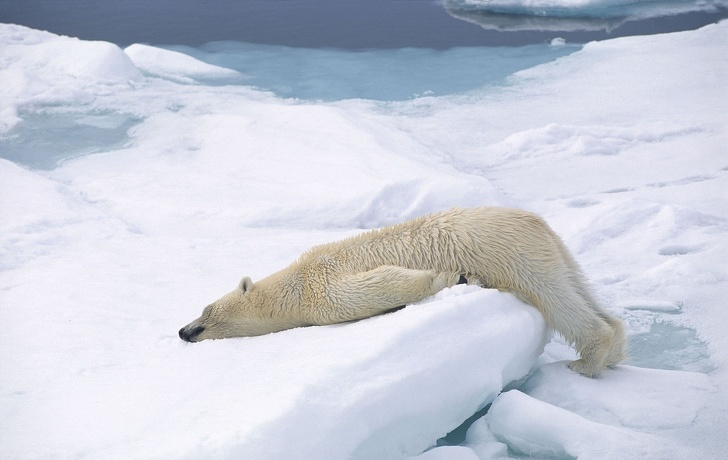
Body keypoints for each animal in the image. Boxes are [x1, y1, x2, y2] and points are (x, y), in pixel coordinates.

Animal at [179, 208, 624, 378]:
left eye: (206, 313)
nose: (184, 331)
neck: (295, 279)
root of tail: (534, 220)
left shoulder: (324, 283)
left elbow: (372, 288)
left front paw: (448, 277)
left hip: (509, 252)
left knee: (556, 299)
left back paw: (586, 361)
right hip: (553, 254)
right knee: (577, 288)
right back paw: (615, 347)